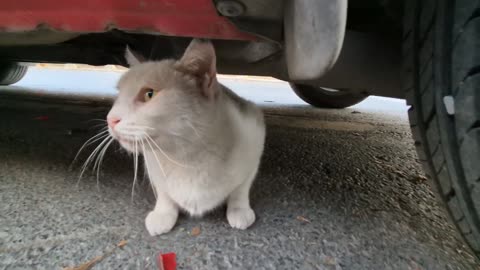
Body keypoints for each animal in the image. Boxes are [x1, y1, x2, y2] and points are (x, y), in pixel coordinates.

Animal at [105, 39, 268, 235]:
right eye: (119, 94)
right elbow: (164, 194)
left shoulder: (255, 132)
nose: (110, 119)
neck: (186, 157)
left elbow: (241, 189)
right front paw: (162, 214)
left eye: (149, 94)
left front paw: (239, 210)